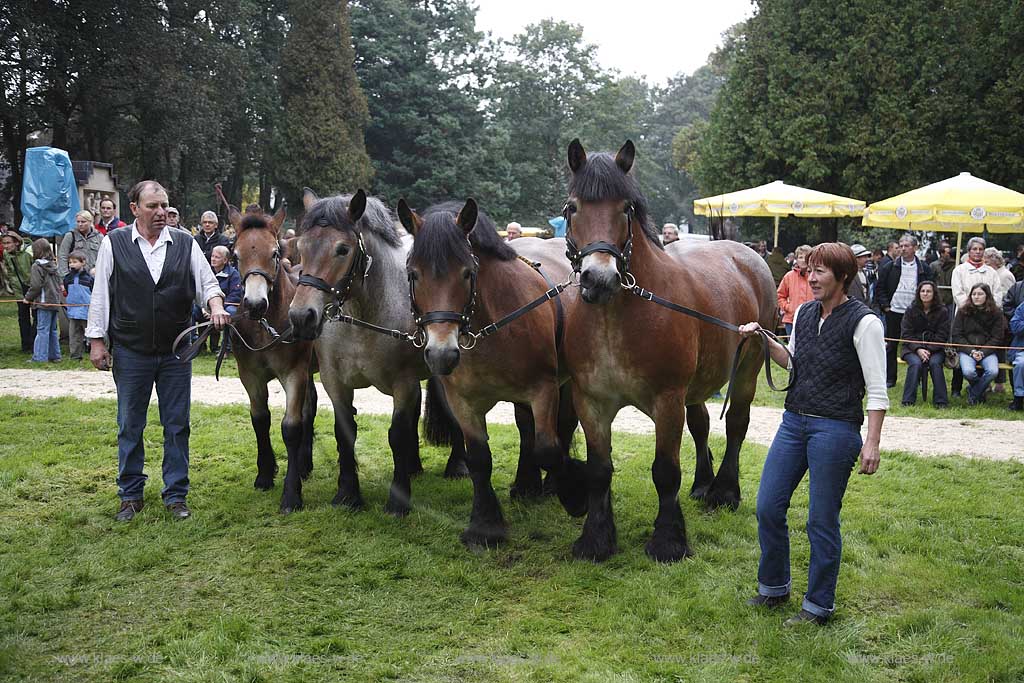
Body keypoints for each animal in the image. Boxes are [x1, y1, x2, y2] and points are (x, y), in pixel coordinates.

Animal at [227, 202, 315, 501]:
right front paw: (265, 473)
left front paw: (291, 494)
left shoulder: (295, 373)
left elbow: (291, 426)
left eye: (275, 253)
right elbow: (260, 419)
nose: (255, 304)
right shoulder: (249, 375)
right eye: (235, 255)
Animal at [286, 189, 466, 516]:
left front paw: (398, 501)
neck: (365, 316)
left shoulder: (403, 383)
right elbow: (345, 432)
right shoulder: (335, 382)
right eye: (301, 247)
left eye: (342, 249)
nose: (301, 317)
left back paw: (457, 465)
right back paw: (414, 466)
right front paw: (347, 494)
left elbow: (397, 434)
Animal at [395, 198, 581, 548]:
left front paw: (573, 491)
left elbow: (548, 449)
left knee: (559, 429)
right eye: (413, 274)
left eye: (468, 273)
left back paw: (549, 485)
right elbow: (480, 459)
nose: (441, 354)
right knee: (526, 428)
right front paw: (485, 525)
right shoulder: (462, 401)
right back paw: (526, 485)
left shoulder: (544, 389)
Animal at [561, 137, 774, 561]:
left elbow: (665, 470)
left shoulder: (667, 400)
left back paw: (724, 492)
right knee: (702, 424)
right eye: (573, 207)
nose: (599, 278)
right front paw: (596, 538)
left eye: (625, 208)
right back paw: (703, 485)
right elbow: (599, 470)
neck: (615, 318)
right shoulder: (590, 401)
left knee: (736, 424)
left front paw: (668, 540)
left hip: (748, 370)